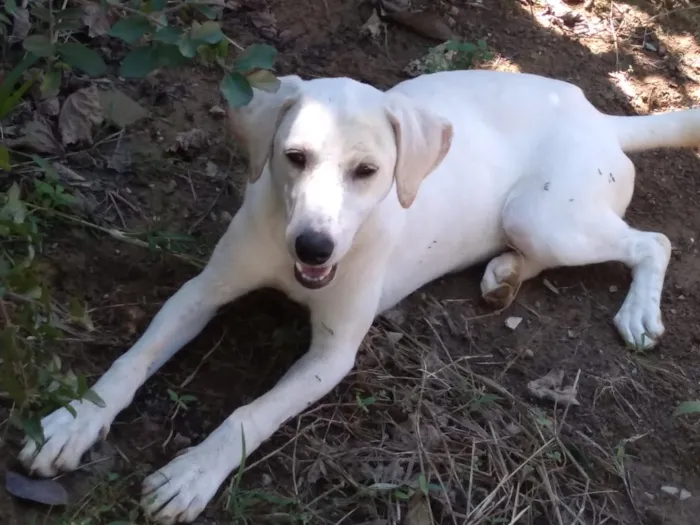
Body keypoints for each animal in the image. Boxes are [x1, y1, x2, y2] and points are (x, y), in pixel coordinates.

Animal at [19, 68, 696, 520]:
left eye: (367, 172)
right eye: (293, 157)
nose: (314, 248)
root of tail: (595, 114)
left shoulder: (332, 355)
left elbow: (250, 414)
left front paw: (193, 473)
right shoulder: (202, 290)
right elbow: (135, 358)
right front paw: (74, 421)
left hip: (542, 214)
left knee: (653, 241)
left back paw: (637, 311)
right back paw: (504, 274)